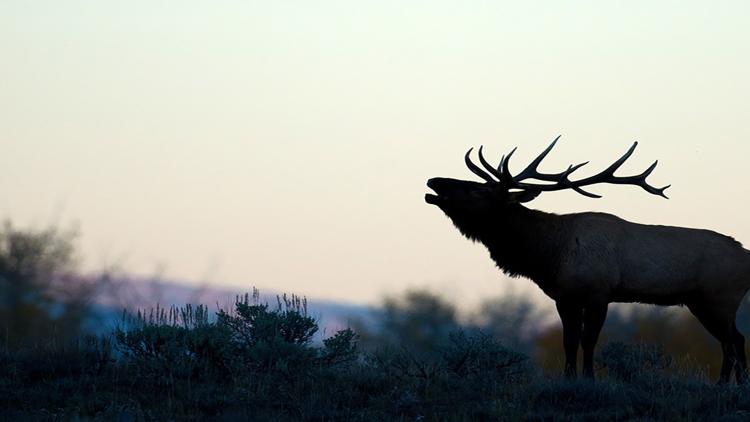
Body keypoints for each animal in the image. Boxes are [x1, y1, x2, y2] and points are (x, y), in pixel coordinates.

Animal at [426, 138, 750, 382]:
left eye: (478, 189)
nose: (434, 181)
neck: (548, 254)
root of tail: (746, 255)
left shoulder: (598, 292)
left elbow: (588, 339)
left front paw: (589, 379)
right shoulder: (564, 297)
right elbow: (568, 341)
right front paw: (569, 378)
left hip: (719, 298)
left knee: (732, 341)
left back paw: (725, 385)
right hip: (701, 302)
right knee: (734, 339)